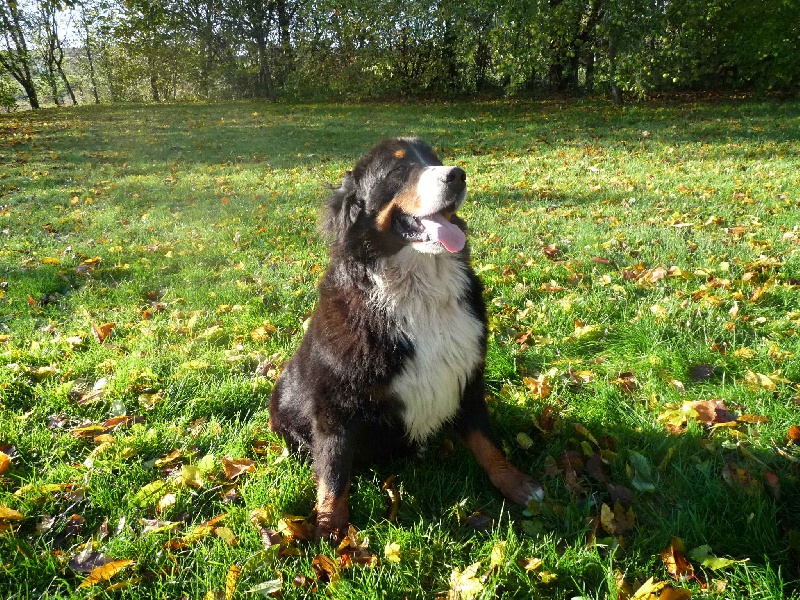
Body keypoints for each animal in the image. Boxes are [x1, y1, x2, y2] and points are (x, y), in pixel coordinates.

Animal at [268, 139, 544, 540]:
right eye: (398, 169)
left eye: (435, 159)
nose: (457, 175)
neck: (420, 292)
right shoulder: (336, 403)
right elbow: (334, 470)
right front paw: (331, 531)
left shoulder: (467, 377)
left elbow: (487, 442)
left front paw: (518, 484)